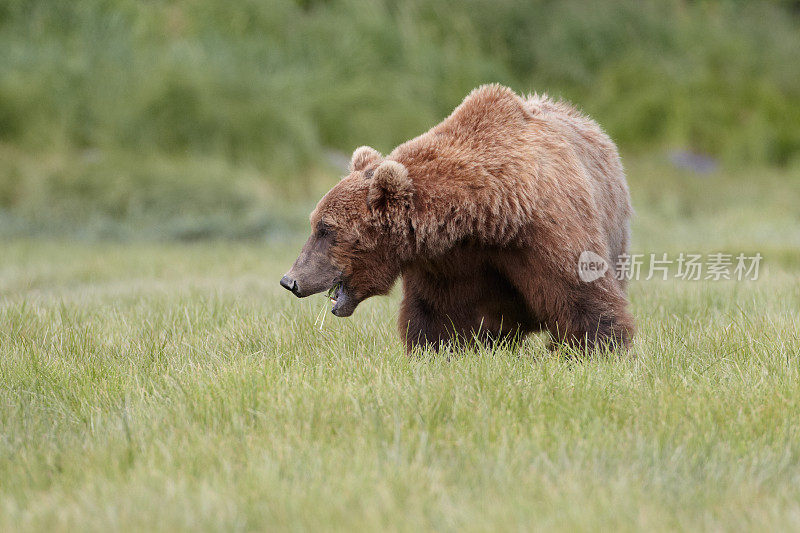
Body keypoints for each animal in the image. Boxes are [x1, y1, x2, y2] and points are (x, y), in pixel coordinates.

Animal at [284, 84, 636, 354]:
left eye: (325, 229)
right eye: (316, 224)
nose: (290, 280)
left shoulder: (545, 233)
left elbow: (581, 295)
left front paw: (596, 349)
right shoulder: (448, 262)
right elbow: (436, 315)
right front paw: (435, 352)